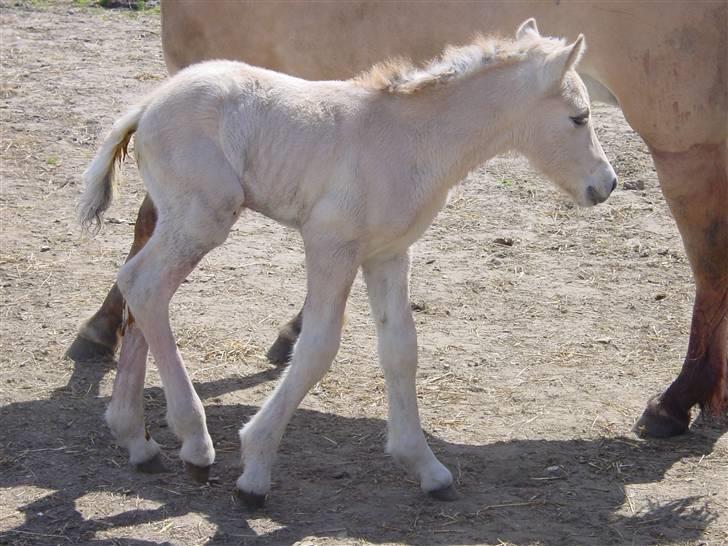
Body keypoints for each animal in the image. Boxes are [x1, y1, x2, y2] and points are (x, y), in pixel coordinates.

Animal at [79, 21, 616, 506]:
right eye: (579, 117)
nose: (606, 184)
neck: (412, 139)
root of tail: (149, 104)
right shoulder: (330, 243)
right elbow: (318, 347)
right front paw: (256, 470)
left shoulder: (388, 253)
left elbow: (401, 349)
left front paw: (426, 468)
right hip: (204, 218)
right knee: (145, 285)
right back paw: (194, 444)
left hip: (183, 218)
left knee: (141, 289)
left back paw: (137, 440)